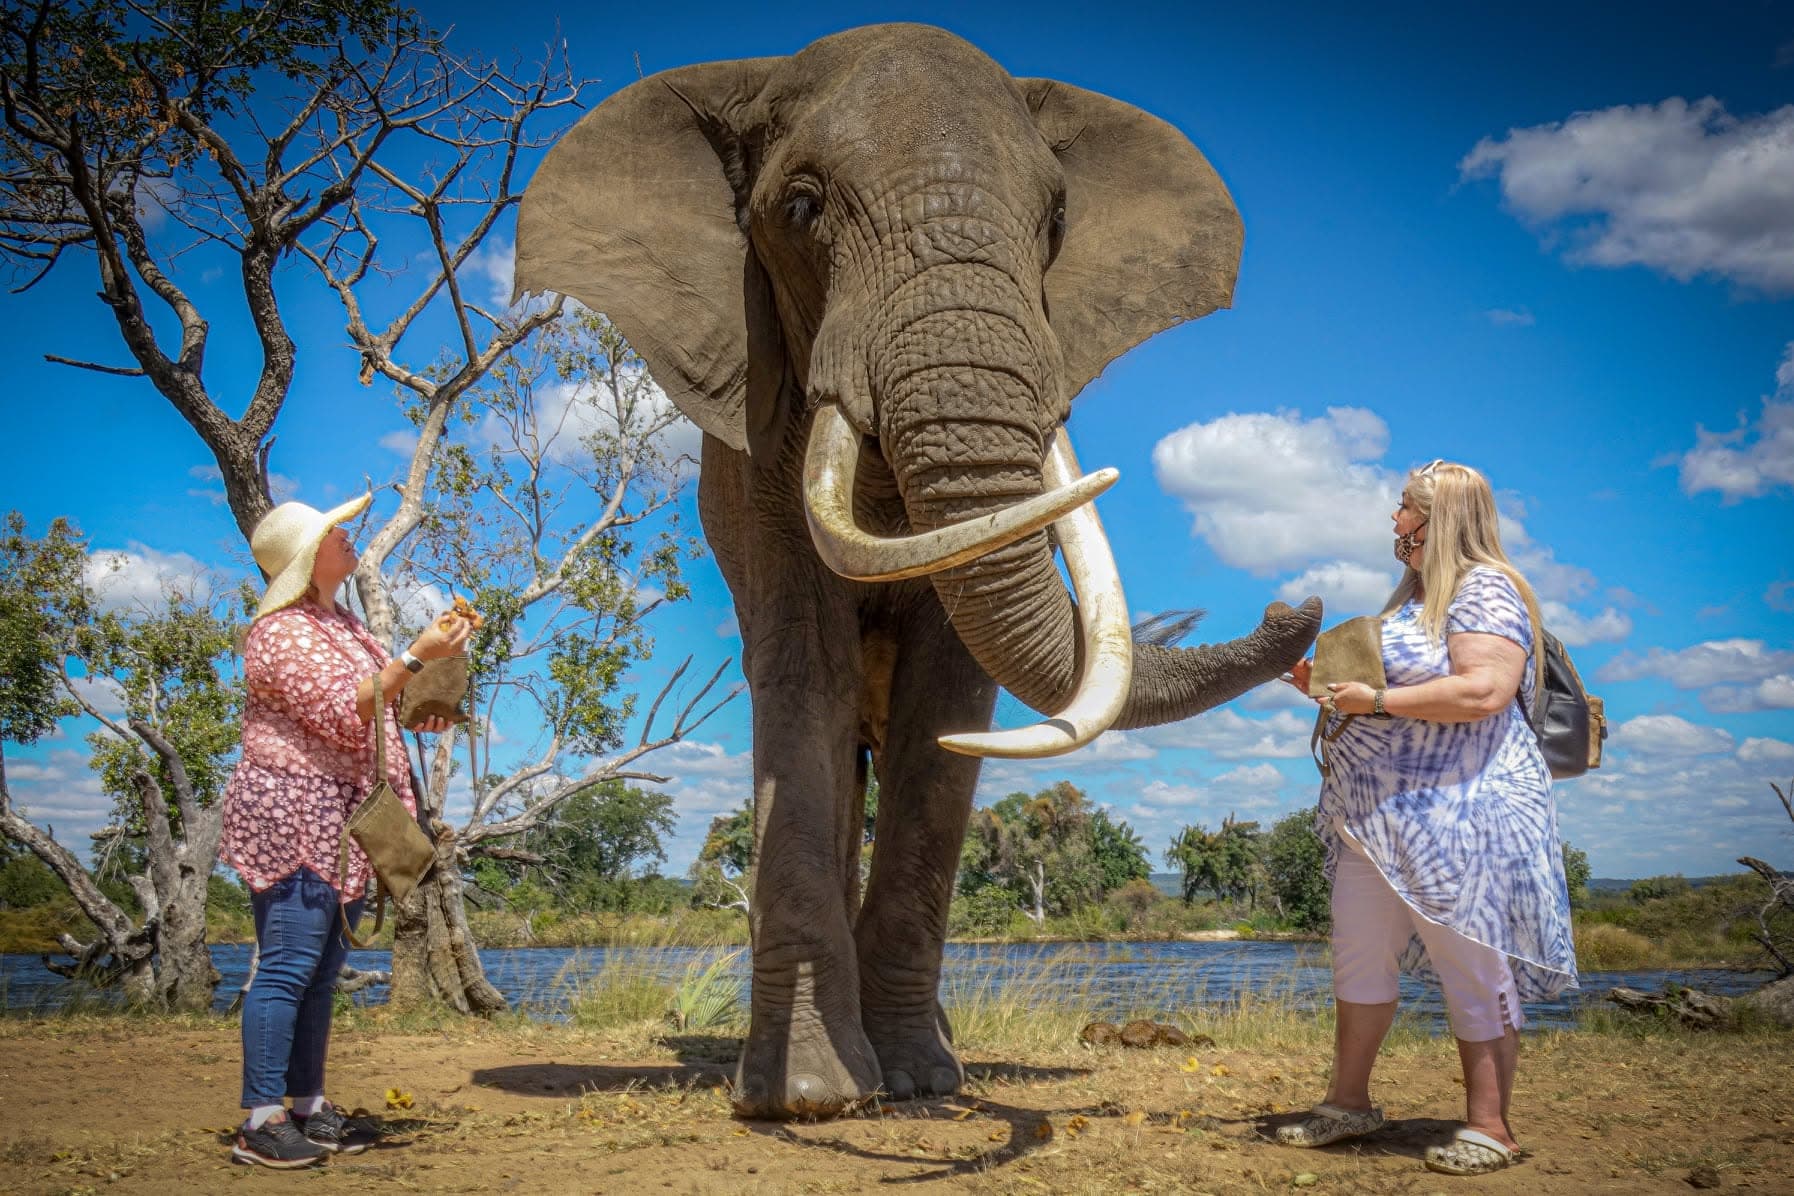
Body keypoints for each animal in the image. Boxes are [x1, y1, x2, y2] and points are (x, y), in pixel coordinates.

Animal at [515, 22, 1321, 1119]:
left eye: (1055, 218)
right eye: (801, 208)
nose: (1297, 599)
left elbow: (949, 700)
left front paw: (919, 1080)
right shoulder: (761, 446)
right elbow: (803, 665)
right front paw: (808, 1097)